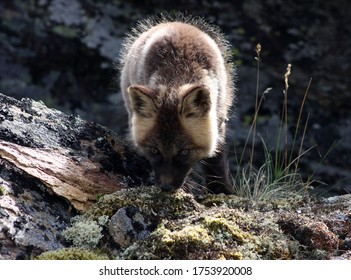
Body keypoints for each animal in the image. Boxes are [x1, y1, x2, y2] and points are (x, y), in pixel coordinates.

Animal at [119, 15, 236, 195]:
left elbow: (216, 159)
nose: (166, 188)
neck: (178, 71)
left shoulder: (219, 119)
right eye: (155, 150)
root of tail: (174, 22)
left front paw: (221, 189)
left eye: (184, 152)